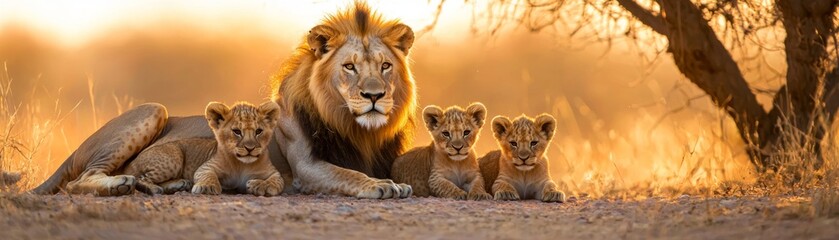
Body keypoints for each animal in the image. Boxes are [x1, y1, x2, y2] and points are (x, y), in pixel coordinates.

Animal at [119, 100, 282, 196]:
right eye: (237, 131)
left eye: (258, 131)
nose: (250, 148)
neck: (242, 164)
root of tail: (133, 160)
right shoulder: (207, 166)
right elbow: (207, 175)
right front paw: (207, 187)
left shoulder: (273, 172)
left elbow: (277, 182)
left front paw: (261, 186)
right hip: (173, 159)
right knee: (140, 178)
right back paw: (155, 189)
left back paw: (178, 184)